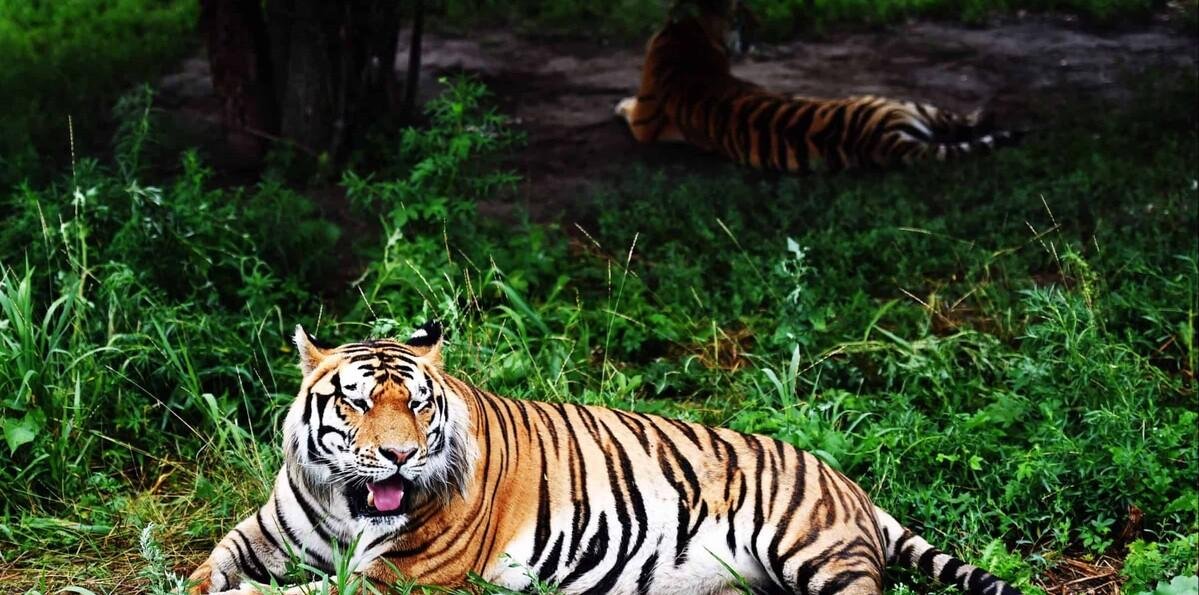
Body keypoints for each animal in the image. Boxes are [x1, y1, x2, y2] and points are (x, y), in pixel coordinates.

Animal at [189, 320, 1022, 595]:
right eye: (358, 403)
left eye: (418, 405)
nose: (397, 457)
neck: (346, 503)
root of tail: (844, 478)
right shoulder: (263, 532)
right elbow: (208, 568)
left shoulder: (407, 577)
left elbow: (300, 594)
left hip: (812, 549)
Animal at [615, 0, 1017, 172]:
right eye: (743, 14)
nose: (761, 23)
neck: (690, 34)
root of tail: (885, 140)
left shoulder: (645, 122)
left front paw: (620, 102)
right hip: (902, 103)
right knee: (960, 121)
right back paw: (986, 111)